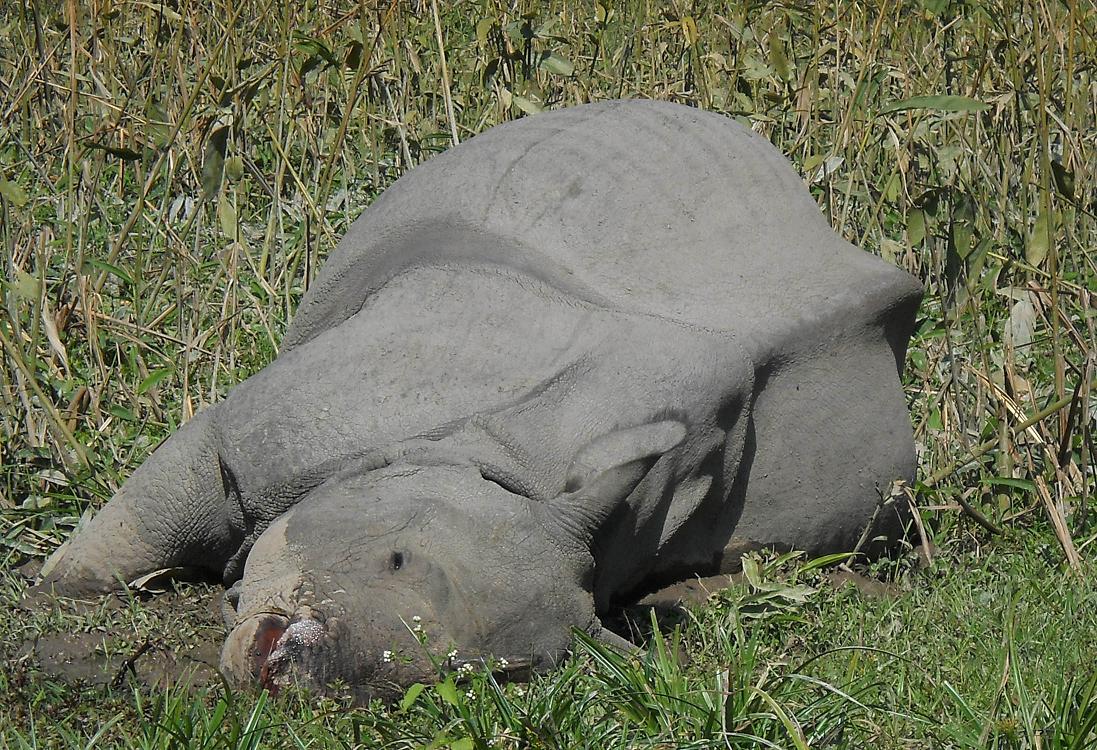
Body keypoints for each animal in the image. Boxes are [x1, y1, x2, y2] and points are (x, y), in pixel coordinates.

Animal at [37, 99, 922, 701]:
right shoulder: (274, 430)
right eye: (394, 557)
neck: (491, 464)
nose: (303, 672)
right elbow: (154, 510)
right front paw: (48, 588)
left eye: (470, 679)